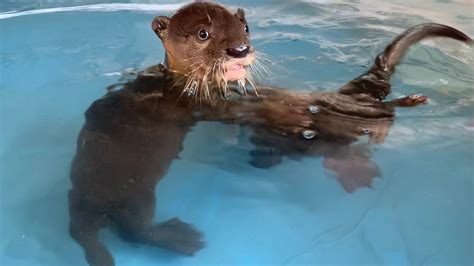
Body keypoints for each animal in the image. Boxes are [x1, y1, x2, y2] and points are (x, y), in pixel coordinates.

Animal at [68, 2, 472, 266]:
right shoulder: (206, 103)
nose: (240, 49)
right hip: (132, 193)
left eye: (244, 29)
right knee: (135, 230)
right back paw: (183, 238)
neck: (180, 82)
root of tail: (82, 216)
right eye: (203, 34)